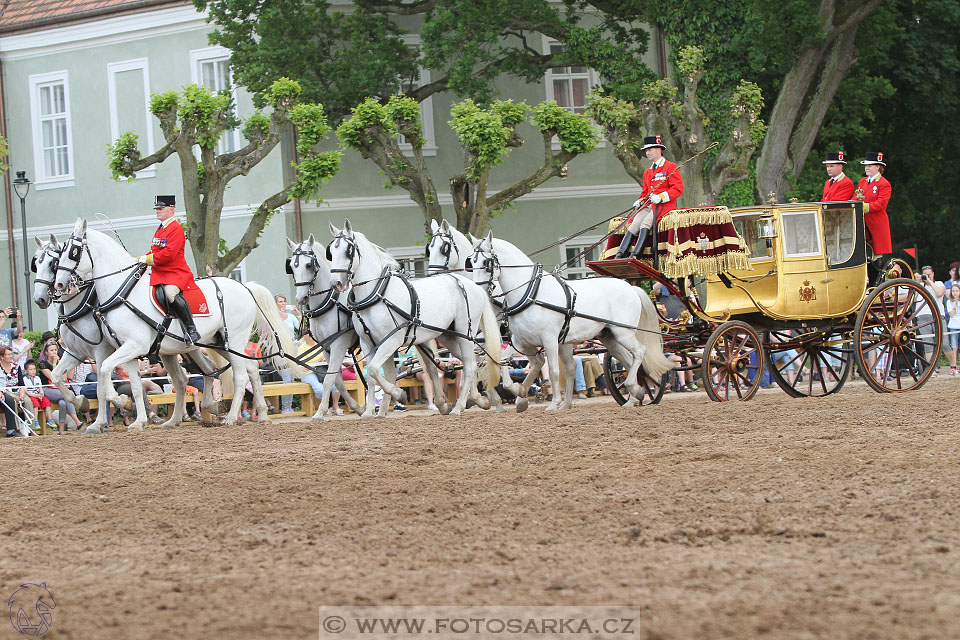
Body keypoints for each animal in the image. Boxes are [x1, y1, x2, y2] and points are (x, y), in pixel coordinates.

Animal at [31, 238, 155, 432]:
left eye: (53, 263)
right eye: (36, 263)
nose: (39, 299)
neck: (82, 307)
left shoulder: (100, 352)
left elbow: (100, 388)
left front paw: (102, 420)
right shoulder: (76, 352)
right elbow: (56, 376)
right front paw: (81, 402)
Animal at [54, 218, 302, 428]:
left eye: (72, 252)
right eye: (58, 254)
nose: (59, 284)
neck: (121, 292)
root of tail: (243, 287)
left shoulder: (134, 346)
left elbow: (105, 370)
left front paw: (120, 400)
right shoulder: (126, 349)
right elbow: (132, 384)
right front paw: (133, 414)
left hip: (234, 340)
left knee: (240, 375)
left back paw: (231, 417)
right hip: (221, 342)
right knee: (248, 368)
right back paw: (260, 414)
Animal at [326, 220, 502, 418]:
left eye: (348, 250)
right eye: (331, 251)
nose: (335, 283)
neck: (378, 293)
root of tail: (473, 285)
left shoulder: (393, 340)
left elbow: (373, 370)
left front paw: (399, 394)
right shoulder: (367, 343)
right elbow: (371, 376)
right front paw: (370, 411)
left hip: (465, 331)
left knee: (471, 365)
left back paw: (459, 406)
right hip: (448, 335)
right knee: (469, 362)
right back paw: (477, 400)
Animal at [468, 231, 672, 410]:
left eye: (486, 262)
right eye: (471, 261)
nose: (477, 290)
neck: (532, 294)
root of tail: (631, 287)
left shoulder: (549, 340)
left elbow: (553, 370)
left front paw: (553, 403)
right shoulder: (522, 341)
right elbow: (503, 361)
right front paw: (519, 393)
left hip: (624, 332)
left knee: (640, 352)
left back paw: (634, 390)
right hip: (609, 337)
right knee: (629, 363)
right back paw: (634, 396)